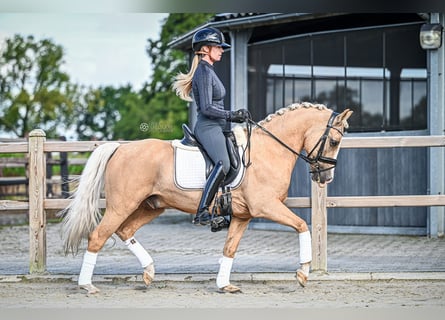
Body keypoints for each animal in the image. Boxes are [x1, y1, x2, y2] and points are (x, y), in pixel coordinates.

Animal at [59, 102, 352, 292]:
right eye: (334, 141)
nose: (325, 178)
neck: (269, 150)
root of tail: (120, 148)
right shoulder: (266, 207)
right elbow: (302, 225)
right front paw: (303, 272)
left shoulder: (243, 215)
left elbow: (230, 248)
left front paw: (224, 284)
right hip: (122, 205)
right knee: (98, 236)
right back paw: (87, 285)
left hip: (151, 206)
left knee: (124, 231)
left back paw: (149, 273)